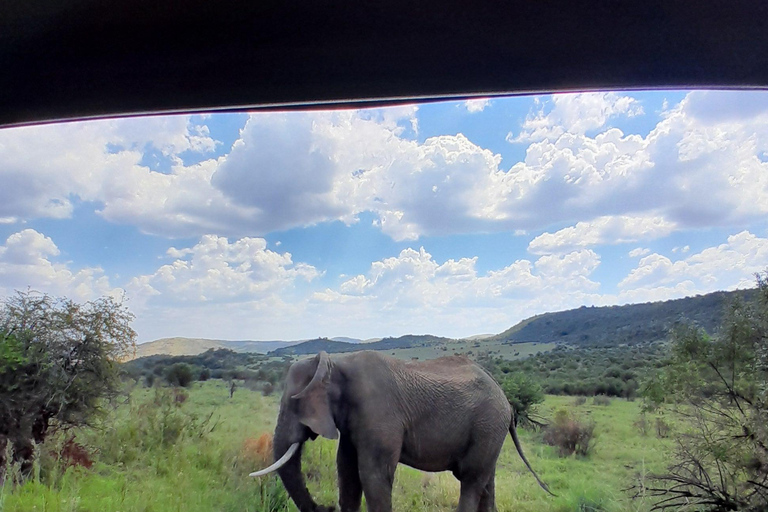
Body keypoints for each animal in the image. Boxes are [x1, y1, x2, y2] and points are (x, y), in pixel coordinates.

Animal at [252, 350, 552, 510]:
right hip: (489, 430)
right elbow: (347, 473)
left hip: (488, 424)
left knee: (471, 479)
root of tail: (506, 399)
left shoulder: (378, 413)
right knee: (486, 481)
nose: (324, 508)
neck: (337, 363)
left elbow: (373, 475)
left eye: (294, 403)